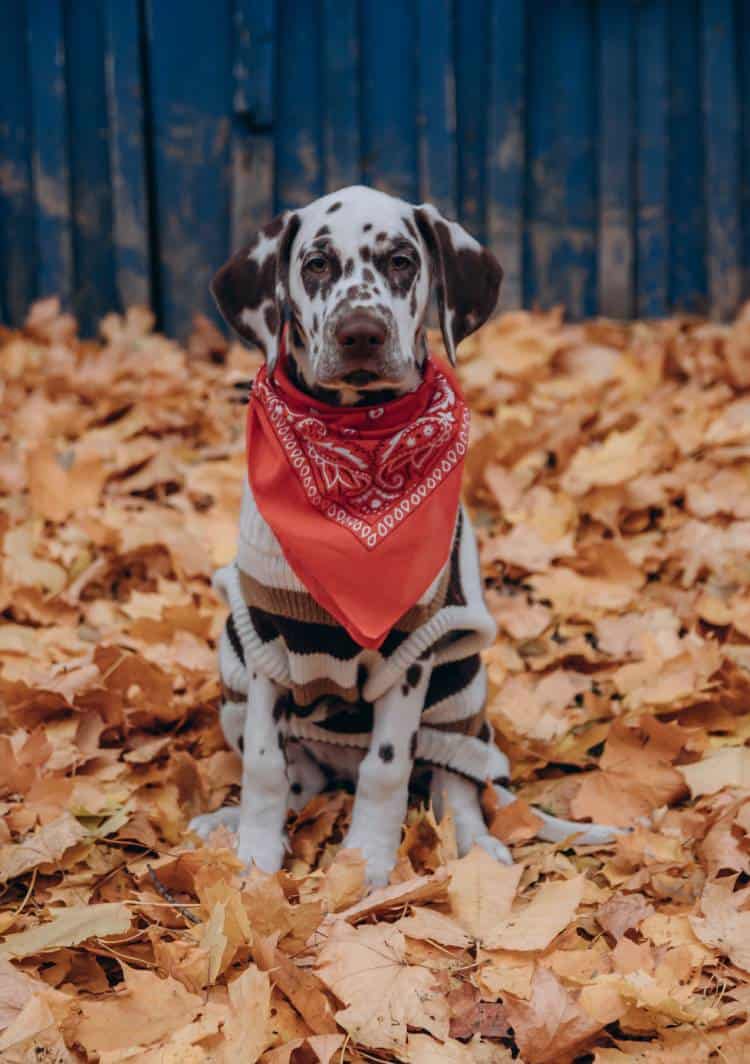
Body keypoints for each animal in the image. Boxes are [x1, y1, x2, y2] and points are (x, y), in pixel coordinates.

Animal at [190, 187, 617, 885]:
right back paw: (225, 822)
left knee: (455, 786)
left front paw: (364, 861)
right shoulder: (266, 641)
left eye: (400, 261)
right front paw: (254, 856)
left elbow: (387, 768)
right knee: (302, 779)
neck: (358, 443)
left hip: (460, 685)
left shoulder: (413, 649)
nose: (360, 332)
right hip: (231, 655)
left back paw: (479, 848)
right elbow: (264, 763)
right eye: (315, 264)